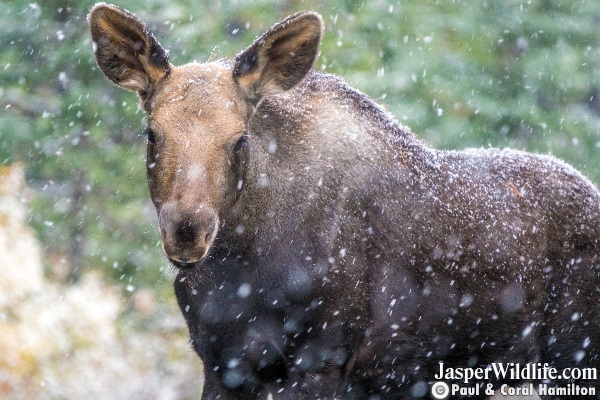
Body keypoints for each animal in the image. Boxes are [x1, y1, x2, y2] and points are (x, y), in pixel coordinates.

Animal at [89, 3, 600, 400]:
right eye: (151, 133)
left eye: (239, 140)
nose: (187, 231)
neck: (239, 265)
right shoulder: (221, 363)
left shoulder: (321, 359)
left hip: (575, 351)